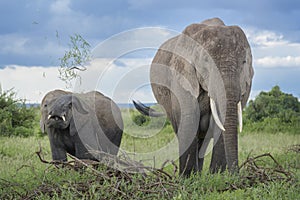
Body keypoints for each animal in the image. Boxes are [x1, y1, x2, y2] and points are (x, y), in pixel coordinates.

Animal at [135, 18, 254, 176]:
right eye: (207, 63)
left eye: (244, 62)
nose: (235, 175)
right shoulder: (182, 76)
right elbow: (189, 120)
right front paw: (187, 177)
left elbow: (219, 124)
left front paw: (217, 176)